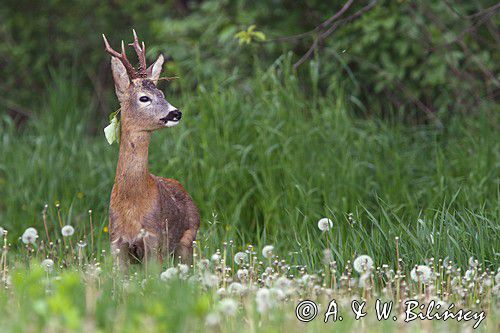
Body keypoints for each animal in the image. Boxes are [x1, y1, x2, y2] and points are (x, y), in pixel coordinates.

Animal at [103, 29, 199, 268]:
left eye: (163, 94)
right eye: (144, 98)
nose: (176, 113)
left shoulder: (154, 238)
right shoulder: (116, 241)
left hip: (187, 241)